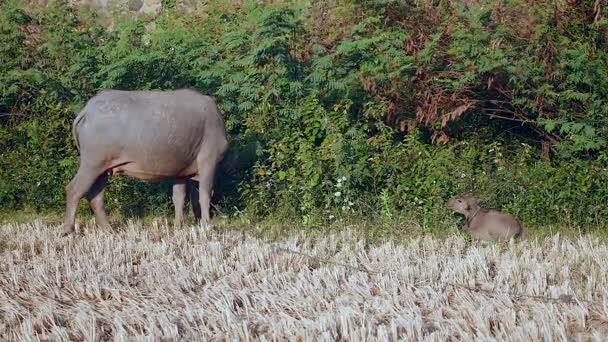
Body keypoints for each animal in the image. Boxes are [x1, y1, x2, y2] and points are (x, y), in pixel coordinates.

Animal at [62, 88, 228, 235]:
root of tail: (88, 110)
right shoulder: (208, 161)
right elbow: (205, 195)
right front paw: (206, 225)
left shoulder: (180, 171)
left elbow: (179, 198)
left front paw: (178, 226)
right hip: (91, 164)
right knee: (74, 190)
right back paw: (68, 230)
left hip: (103, 169)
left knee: (96, 196)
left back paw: (108, 229)